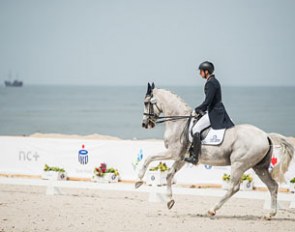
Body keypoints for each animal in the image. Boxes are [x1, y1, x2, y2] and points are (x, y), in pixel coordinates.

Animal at [136, 83, 294, 219]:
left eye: (146, 102)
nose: (144, 124)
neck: (178, 122)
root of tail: (266, 136)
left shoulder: (173, 152)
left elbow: (149, 157)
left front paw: (139, 179)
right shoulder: (181, 158)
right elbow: (169, 175)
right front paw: (169, 201)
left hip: (239, 164)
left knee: (233, 187)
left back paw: (212, 210)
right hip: (259, 167)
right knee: (273, 186)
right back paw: (270, 214)